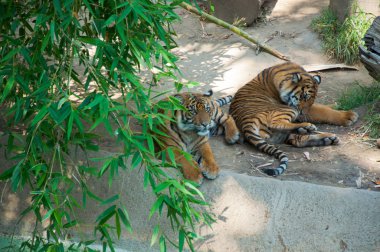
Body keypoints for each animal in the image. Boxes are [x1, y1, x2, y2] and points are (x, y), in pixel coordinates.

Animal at [229, 61, 360, 175]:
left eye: (312, 99)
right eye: (304, 96)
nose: (303, 113)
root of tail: (246, 124)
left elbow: (322, 108)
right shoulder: (295, 107)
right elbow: (322, 110)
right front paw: (349, 116)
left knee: (298, 139)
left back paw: (327, 138)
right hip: (288, 110)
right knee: (277, 123)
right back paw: (308, 127)